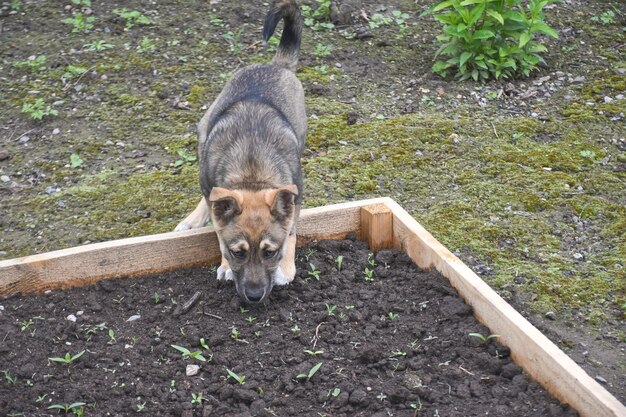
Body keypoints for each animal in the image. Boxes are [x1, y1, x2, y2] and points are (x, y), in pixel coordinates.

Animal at [174, 0, 304, 306]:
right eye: (237, 253)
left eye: (270, 252)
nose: (255, 297)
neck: (251, 172)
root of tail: (276, 64)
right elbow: (218, 231)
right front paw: (224, 265)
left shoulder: (295, 195)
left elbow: (291, 230)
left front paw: (286, 268)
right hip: (203, 132)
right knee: (208, 198)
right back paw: (192, 220)